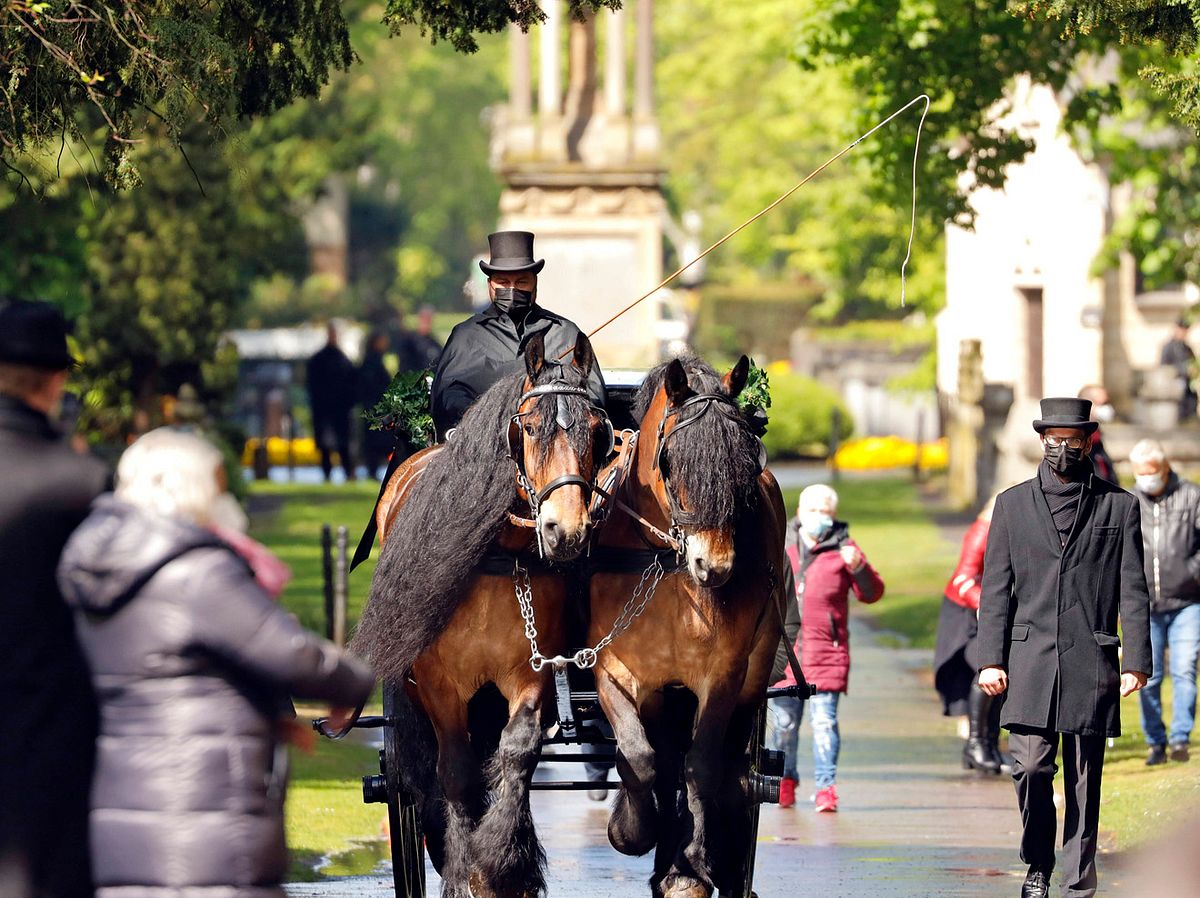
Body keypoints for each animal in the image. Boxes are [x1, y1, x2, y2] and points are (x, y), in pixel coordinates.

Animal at [348, 331, 609, 897]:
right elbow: (458, 771)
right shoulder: (441, 686)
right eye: (528, 427)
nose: (565, 530)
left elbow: (516, 751)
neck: (498, 557)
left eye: (597, 431)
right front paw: (467, 873)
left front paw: (506, 865)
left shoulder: (531, 675)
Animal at [588, 355, 787, 893]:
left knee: (728, 768)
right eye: (673, 460)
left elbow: (700, 764)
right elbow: (639, 756)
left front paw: (692, 861)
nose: (713, 566)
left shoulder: (722, 674)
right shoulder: (615, 670)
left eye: (745, 462)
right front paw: (632, 829)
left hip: (752, 673)